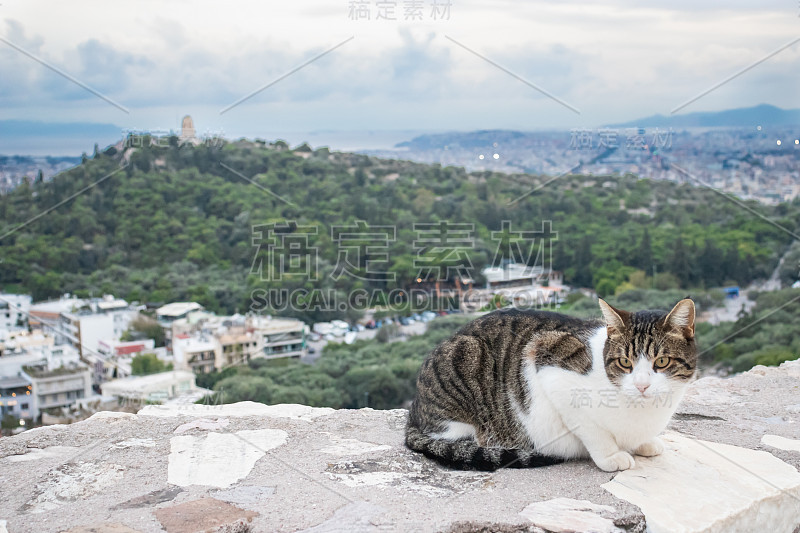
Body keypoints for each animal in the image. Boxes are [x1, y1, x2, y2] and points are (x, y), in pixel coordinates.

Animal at [406, 298, 692, 472]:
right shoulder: (548, 362)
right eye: (624, 362)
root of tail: (414, 410)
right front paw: (611, 456)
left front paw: (644, 443)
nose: (642, 386)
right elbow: (593, 431)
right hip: (467, 362)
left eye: (662, 361)